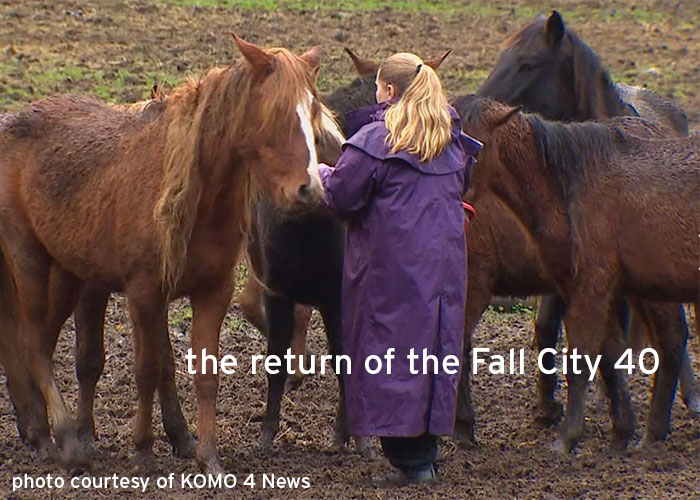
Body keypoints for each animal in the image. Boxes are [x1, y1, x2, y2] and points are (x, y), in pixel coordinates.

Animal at [0, 35, 328, 472]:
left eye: (314, 111)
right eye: (275, 111)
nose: (308, 190)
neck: (195, 194)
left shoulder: (212, 292)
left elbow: (204, 375)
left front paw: (208, 458)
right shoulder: (143, 293)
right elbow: (148, 369)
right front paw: (142, 447)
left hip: (68, 274)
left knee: (41, 343)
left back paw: (41, 430)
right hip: (29, 259)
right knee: (34, 342)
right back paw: (65, 439)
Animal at [462, 95, 696, 452]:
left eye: (473, 147)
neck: (570, 188)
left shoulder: (588, 287)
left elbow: (582, 359)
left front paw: (567, 437)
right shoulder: (595, 289)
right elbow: (607, 354)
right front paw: (620, 432)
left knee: (671, 341)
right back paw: (653, 432)